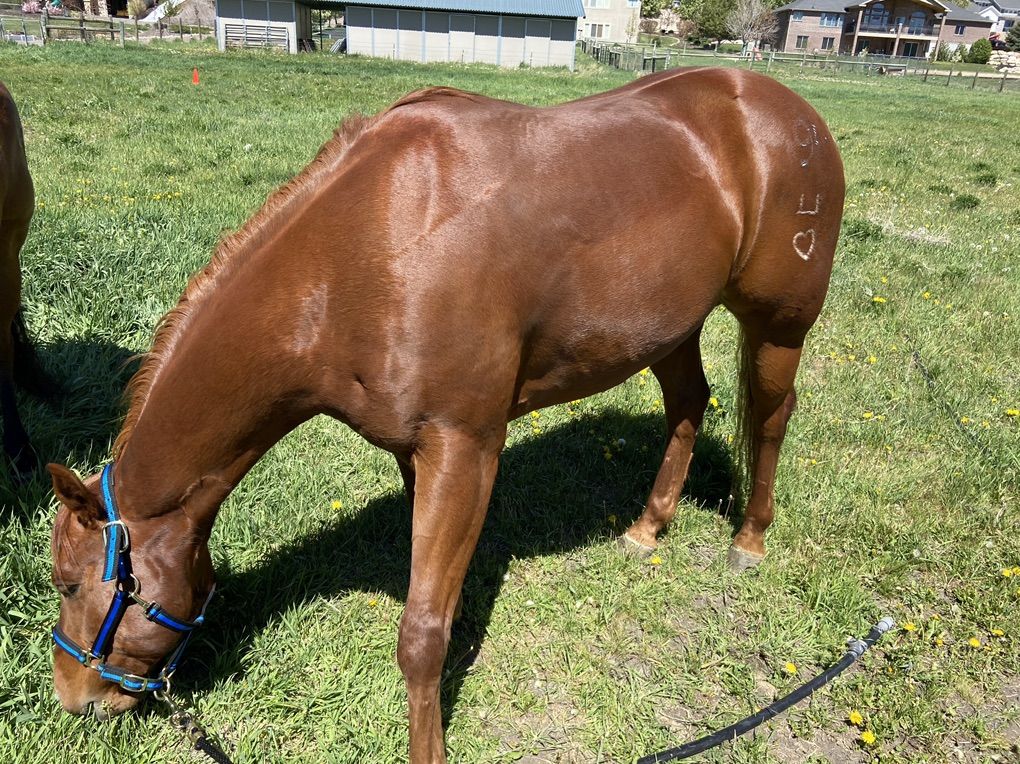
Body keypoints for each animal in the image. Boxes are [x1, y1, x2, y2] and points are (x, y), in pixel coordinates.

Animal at [47, 67, 844, 762]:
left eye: (69, 584)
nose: (75, 700)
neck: (363, 252)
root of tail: (791, 111)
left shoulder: (464, 447)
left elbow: (421, 633)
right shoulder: (416, 452)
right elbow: (434, 605)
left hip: (778, 326)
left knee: (771, 418)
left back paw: (750, 539)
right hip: (670, 326)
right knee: (688, 404)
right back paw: (649, 527)